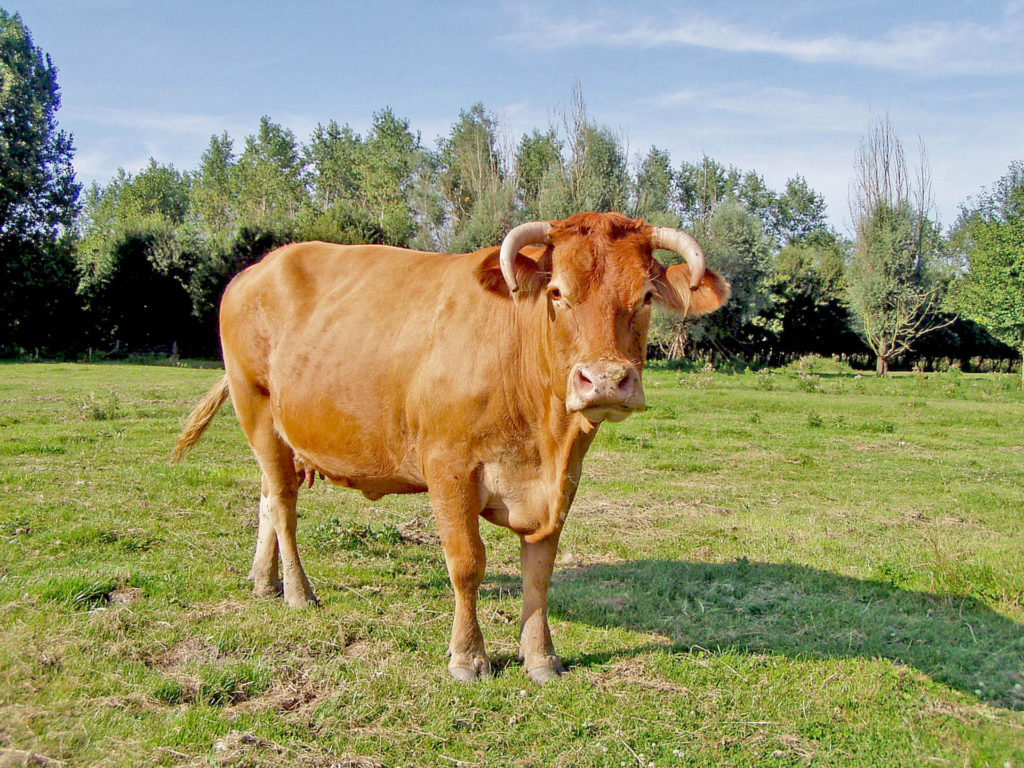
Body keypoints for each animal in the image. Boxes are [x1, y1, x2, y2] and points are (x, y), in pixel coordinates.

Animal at [172, 212, 729, 684]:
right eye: (556, 292)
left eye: (646, 297)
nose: (608, 380)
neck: (544, 439)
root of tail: (259, 267)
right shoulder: (449, 468)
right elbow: (466, 564)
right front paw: (468, 657)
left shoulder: (563, 481)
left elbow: (540, 572)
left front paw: (541, 657)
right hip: (255, 407)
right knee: (284, 505)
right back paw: (297, 593)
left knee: (268, 496)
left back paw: (263, 581)